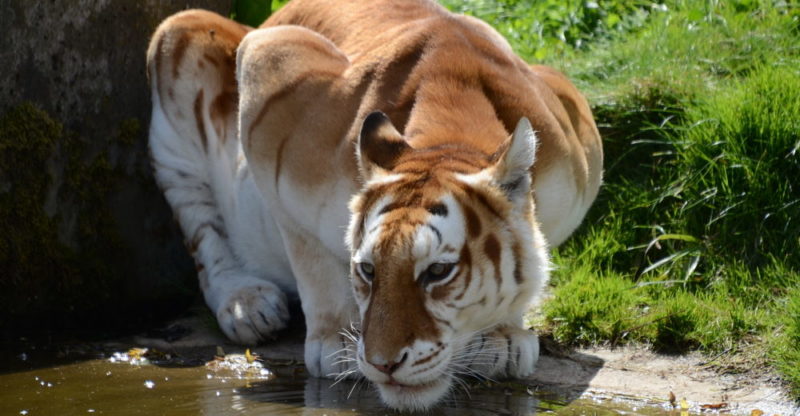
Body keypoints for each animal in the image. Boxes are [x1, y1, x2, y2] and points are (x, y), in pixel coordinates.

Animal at [147, 0, 604, 410]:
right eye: (368, 270)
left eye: (437, 272)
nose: (383, 363)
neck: (451, 134)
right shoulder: (269, 67)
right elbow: (309, 256)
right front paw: (335, 343)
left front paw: (501, 336)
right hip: (179, 46)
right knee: (203, 227)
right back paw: (247, 304)